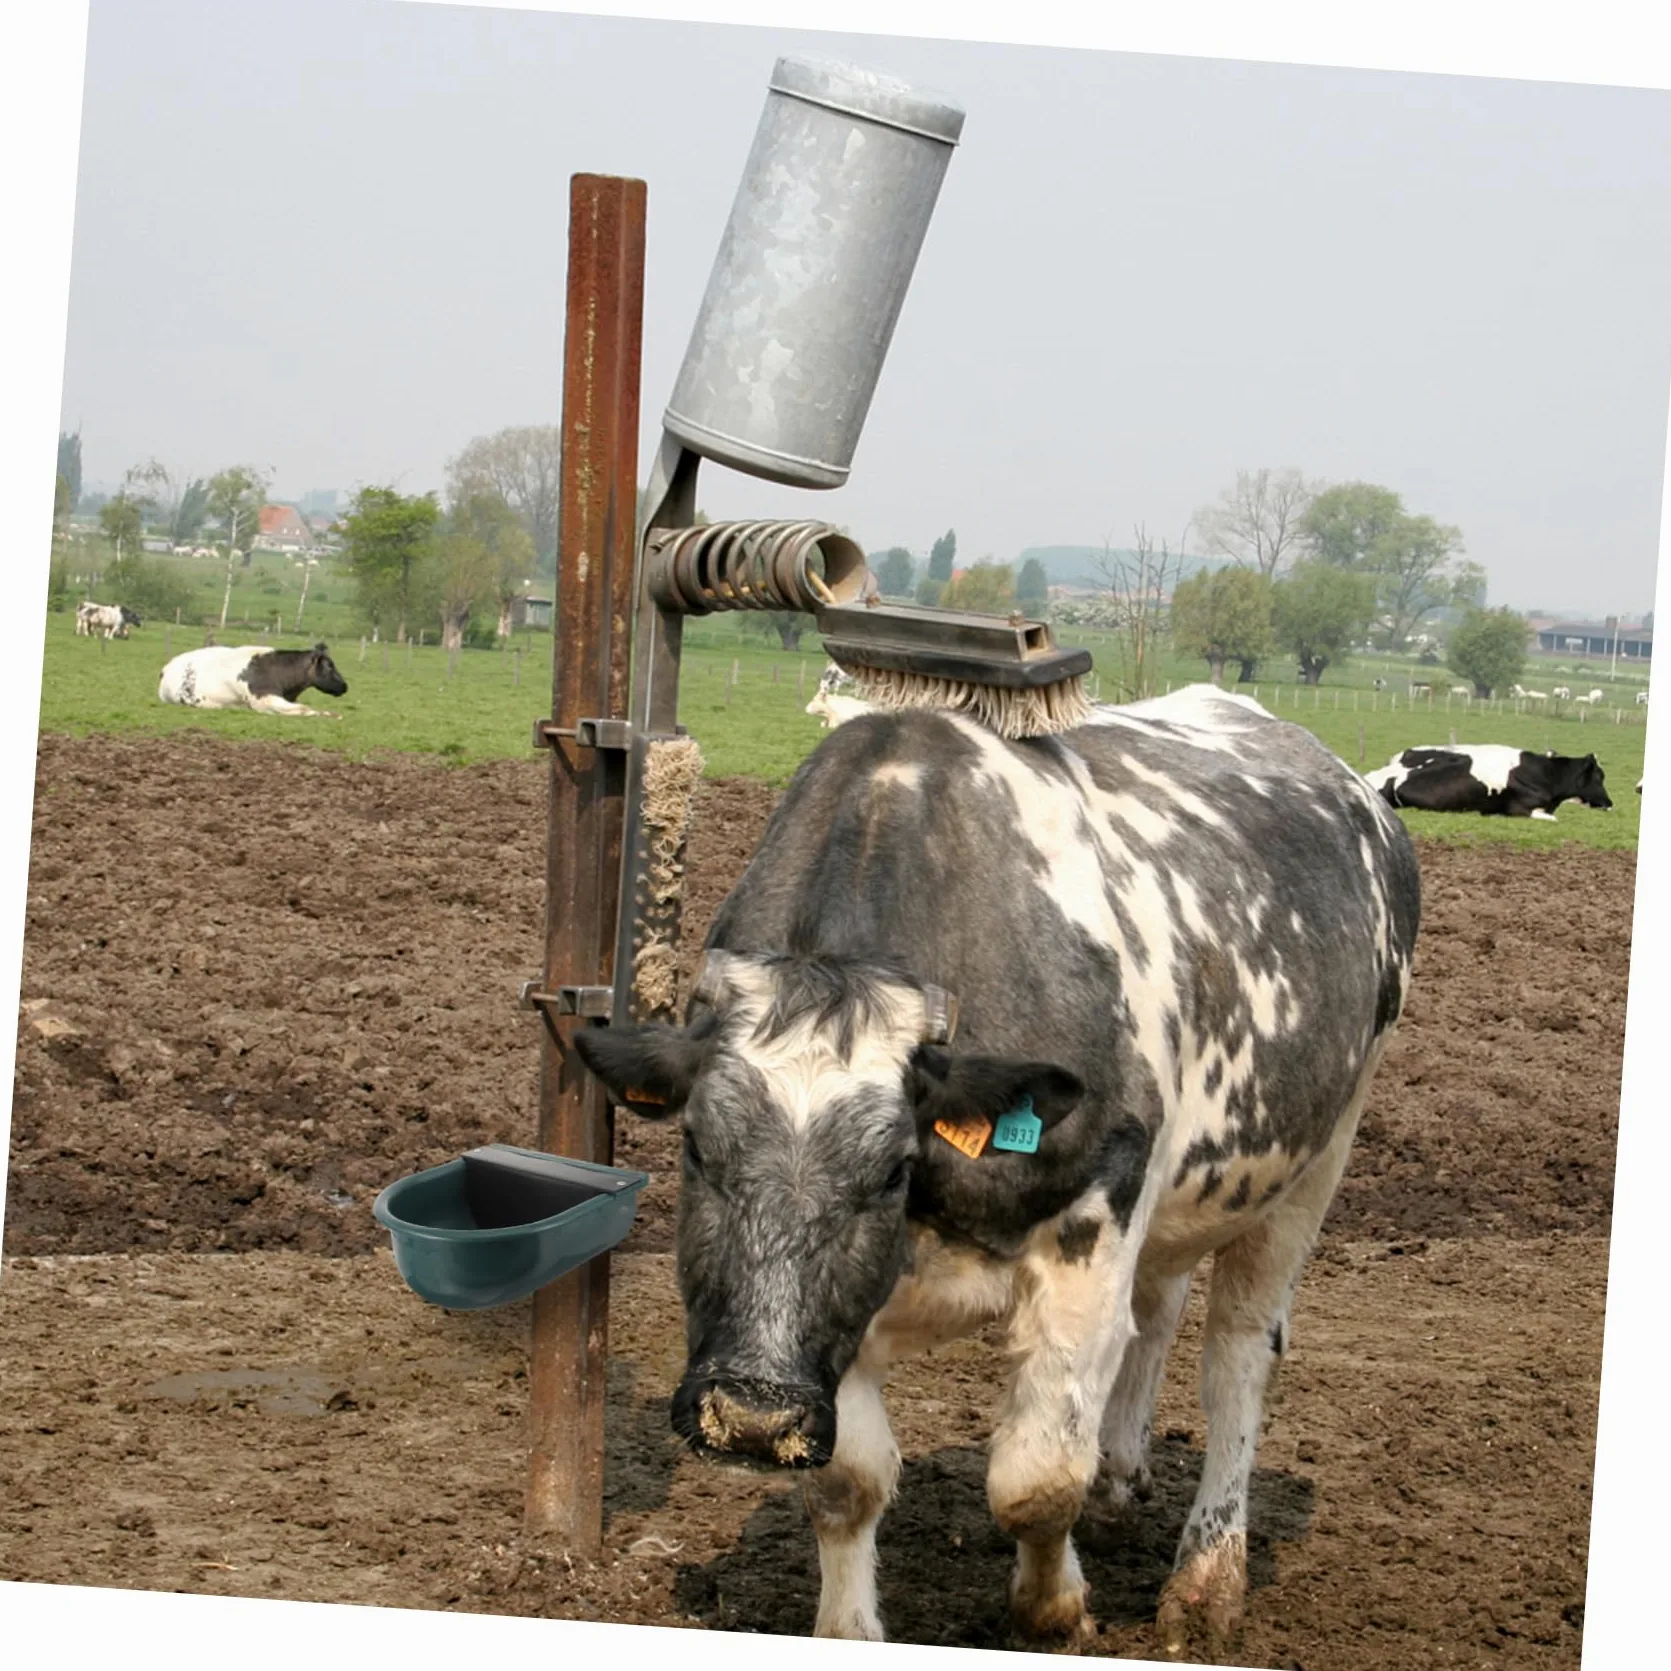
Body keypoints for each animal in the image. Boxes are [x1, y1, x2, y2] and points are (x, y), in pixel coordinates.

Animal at [570, 684, 1421, 1658]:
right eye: (698, 1148)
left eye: (890, 1170)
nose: (751, 1414)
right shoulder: (843, 1314)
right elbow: (847, 1483)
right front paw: (849, 1626)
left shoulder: (1094, 1223)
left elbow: (1036, 1478)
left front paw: (1053, 1608)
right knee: (1157, 1309)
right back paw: (1119, 1483)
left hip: (1316, 1158)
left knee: (1237, 1355)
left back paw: (1207, 1578)